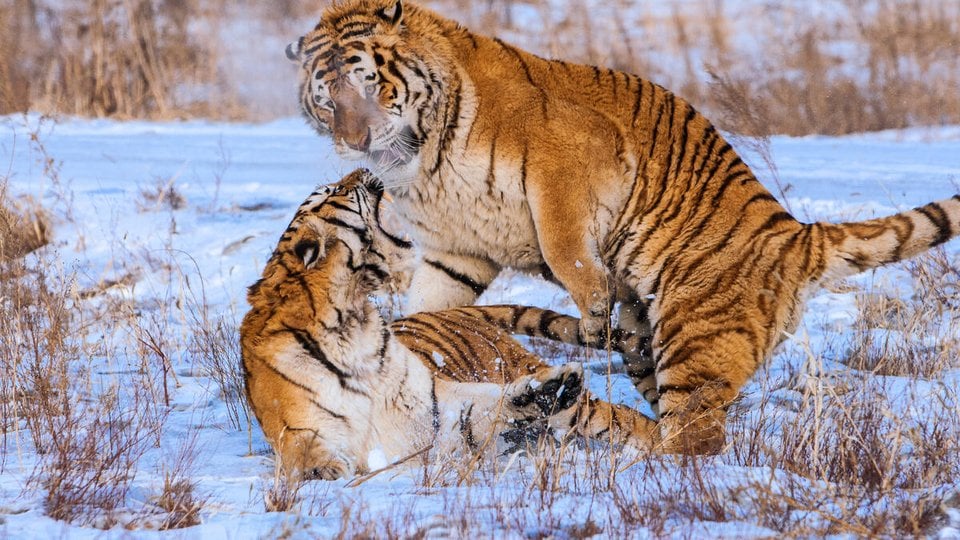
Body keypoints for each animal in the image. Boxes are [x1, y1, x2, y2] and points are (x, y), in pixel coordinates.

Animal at [240, 168, 587, 479]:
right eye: (334, 190)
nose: (363, 167)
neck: (350, 317)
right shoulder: (295, 425)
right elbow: (305, 450)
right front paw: (324, 468)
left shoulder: (431, 406)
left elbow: (484, 405)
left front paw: (549, 391)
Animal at [286, 0, 960, 453]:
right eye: (327, 97)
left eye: (370, 83)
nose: (354, 140)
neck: (419, 156)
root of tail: (796, 232)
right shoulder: (457, 249)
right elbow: (431, 305)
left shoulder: (569, 157)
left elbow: (565, 247)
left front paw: (588, 306)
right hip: (653, 345)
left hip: (696, 331)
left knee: (694, 439)